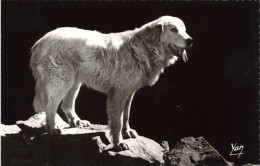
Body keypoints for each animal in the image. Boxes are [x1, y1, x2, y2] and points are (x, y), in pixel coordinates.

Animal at [31, 15, 193, 150]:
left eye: (184, 29)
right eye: (173, 29)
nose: (190, 40)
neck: (144, 48)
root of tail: (41, 40)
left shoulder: (129, 93)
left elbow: (126, 115)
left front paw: (127, 132)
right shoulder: (118, 94)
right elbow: (117, 121)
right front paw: (118, 143)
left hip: (74, 83)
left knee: (66, 105)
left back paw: (77, 122)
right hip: (62, 81)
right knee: (50, 106)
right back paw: (52, 129)